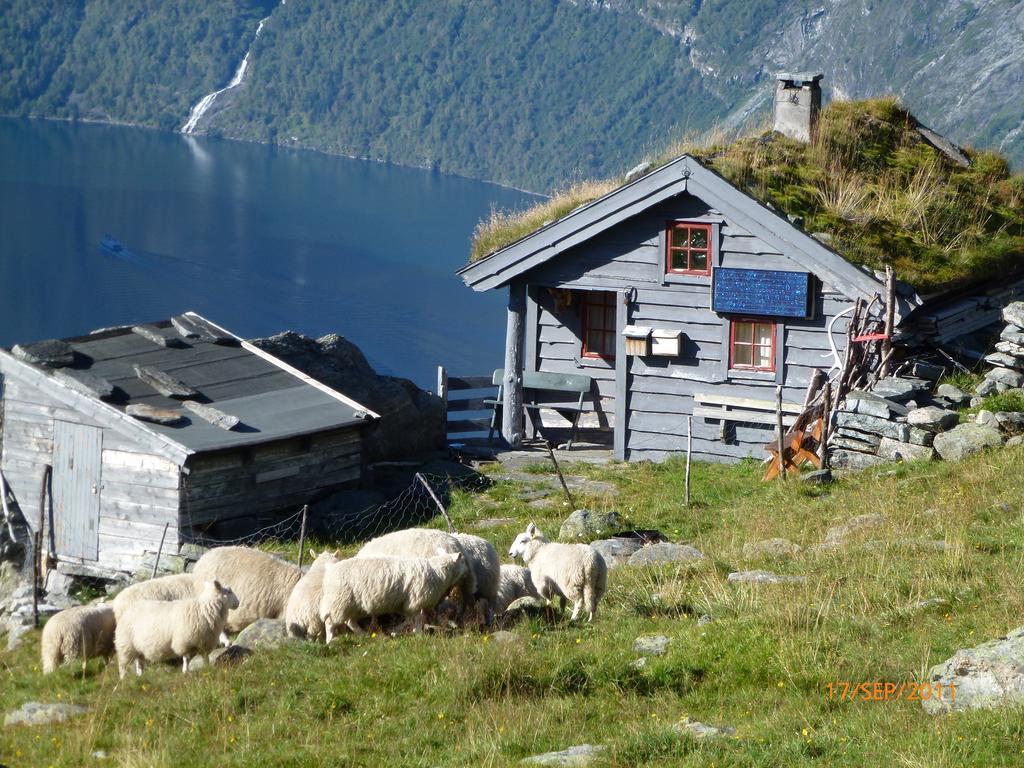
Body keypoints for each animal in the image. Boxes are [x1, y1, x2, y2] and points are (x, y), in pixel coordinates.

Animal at [317, 548, 468, 638]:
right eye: (463, 561)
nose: (468, 571)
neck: (437, 572)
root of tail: (330, 570)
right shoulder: (416, 601)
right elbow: (418, 618)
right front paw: (418, 634)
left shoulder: (406, 603)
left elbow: (410, 619)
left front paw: (396, 630)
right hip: (339, 602)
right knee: (330, 623)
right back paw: (330, 641)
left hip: (350, 605)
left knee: (350, 622)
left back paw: (364, 635)